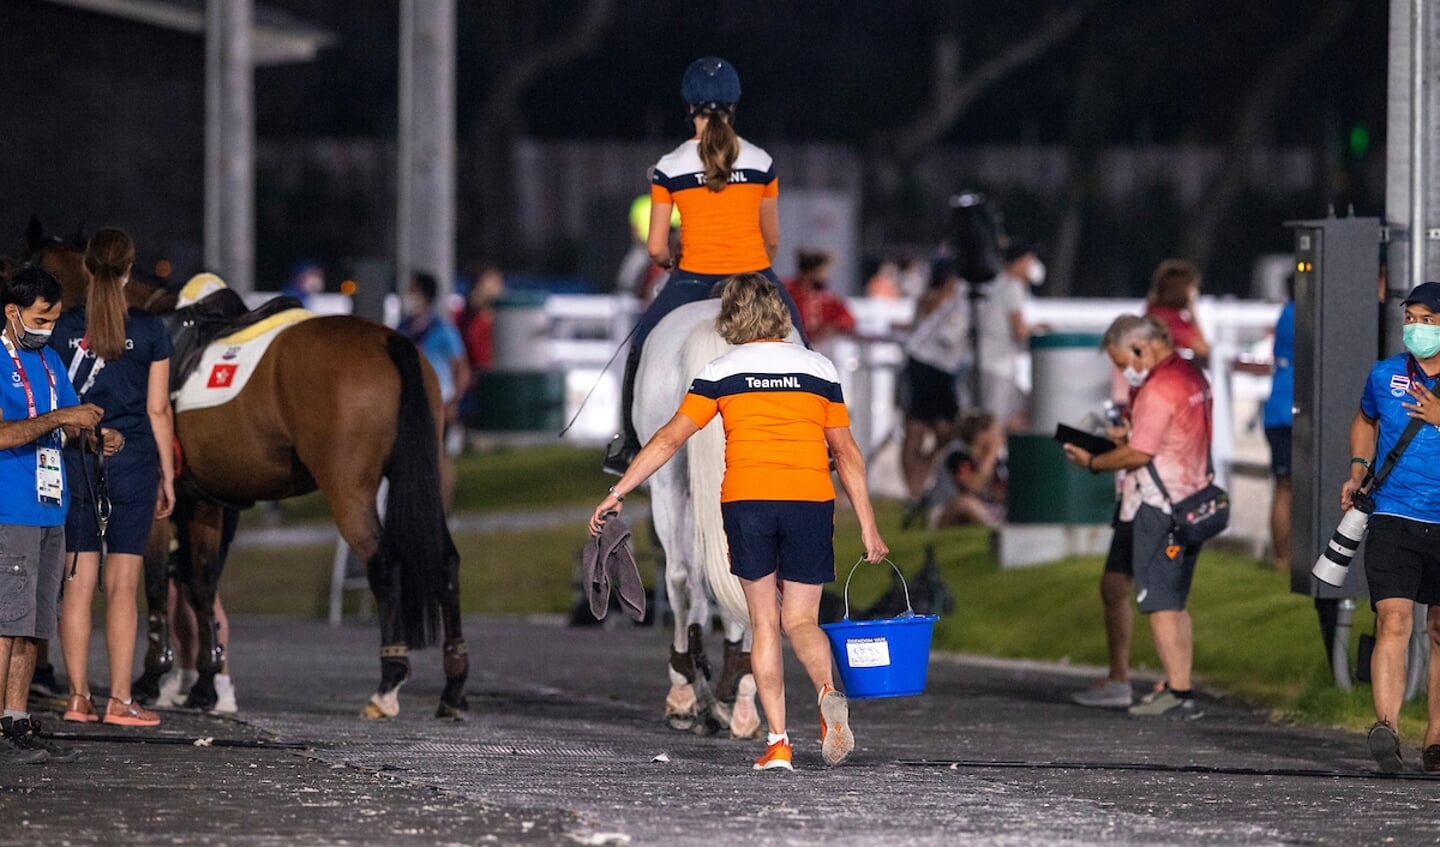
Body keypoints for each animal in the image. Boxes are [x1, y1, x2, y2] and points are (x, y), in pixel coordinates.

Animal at [26, 226, 466, 720]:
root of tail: (391, 341)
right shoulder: (204, 503)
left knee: (384, 562)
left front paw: (153, 679)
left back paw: (389, 682)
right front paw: (204, 683)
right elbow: (200, 586)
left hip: (348, 490)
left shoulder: (160, 503)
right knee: (446, 562)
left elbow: (157, 584)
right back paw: (453, 688)